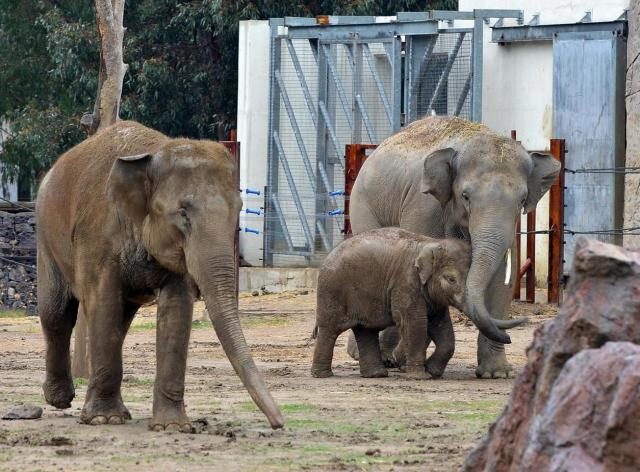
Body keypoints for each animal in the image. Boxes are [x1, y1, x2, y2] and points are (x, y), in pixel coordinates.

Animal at [37, 121, 282, 432]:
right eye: (183, 213)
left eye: (238, 209)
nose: (278, 423)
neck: (155, 153)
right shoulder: (97, 236)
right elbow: (103, 302)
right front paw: (104, 419)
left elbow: (176, 309)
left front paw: (172, 426)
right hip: (47, 237)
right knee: (57, 313)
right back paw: (59, 399)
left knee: (120, 320)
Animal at [312, 229, 476, 380]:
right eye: (451, 279)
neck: (431, 243)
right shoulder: (406, 283)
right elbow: (414, 322)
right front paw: (421, 376)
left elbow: (440, 325)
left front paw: (432, 371)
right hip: (332, 290)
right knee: (330, 329)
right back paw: (323, 375)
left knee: (365, 330)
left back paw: (376, 375)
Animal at [344, 116, 560, 378]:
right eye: (465, 196)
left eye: (522, 199)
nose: (514, 333)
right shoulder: (424, 205)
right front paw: (407, 361)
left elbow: (502, 278)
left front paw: (496, 373)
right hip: (363, 203)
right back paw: (372, 356)